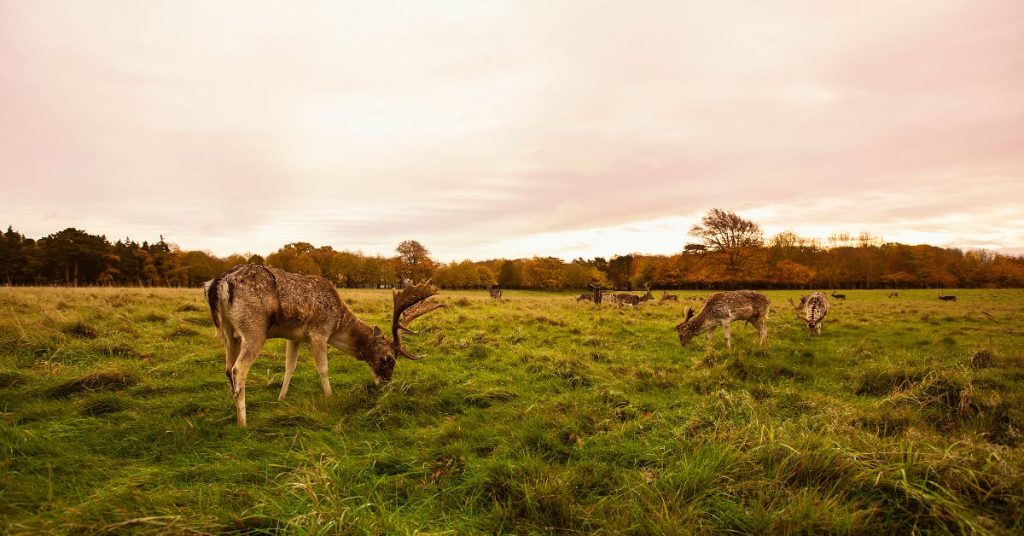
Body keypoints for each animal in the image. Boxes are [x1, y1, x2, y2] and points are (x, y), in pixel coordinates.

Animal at [204, 264, 444, 428]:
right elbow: (323, 368)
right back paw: (243, 422)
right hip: (254, 329)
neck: (336, 324)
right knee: (238, 369)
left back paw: (234, 408)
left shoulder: (294, 336)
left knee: (228, 369)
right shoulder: (319, 332)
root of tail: (218, 284)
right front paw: (330, 397)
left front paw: (281, 398)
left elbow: (289, 367)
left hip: (229, 333)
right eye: (388, 357)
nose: (386, 382)